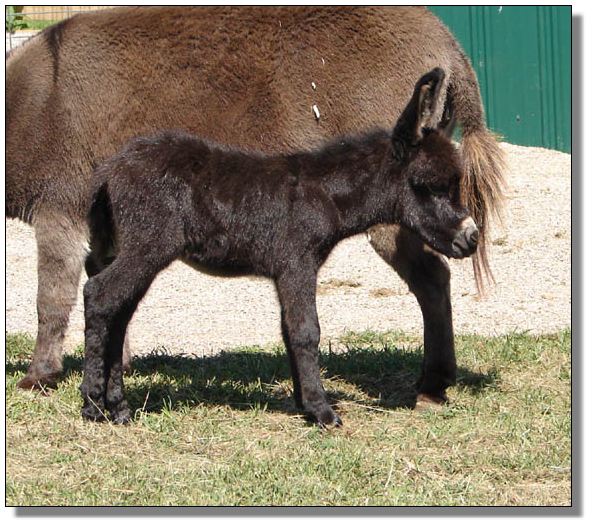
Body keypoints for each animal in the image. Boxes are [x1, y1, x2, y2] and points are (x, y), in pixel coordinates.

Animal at [6, 7, 505, 403]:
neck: (26, 108)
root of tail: (449, 44)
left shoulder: (60, 202)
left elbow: (52, 295)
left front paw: (39, 376)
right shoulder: (104, 224)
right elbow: (105, 285)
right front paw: (117, 365)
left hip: (399, 214)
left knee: (432, 278)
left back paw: (432, 385)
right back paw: (436, 382)